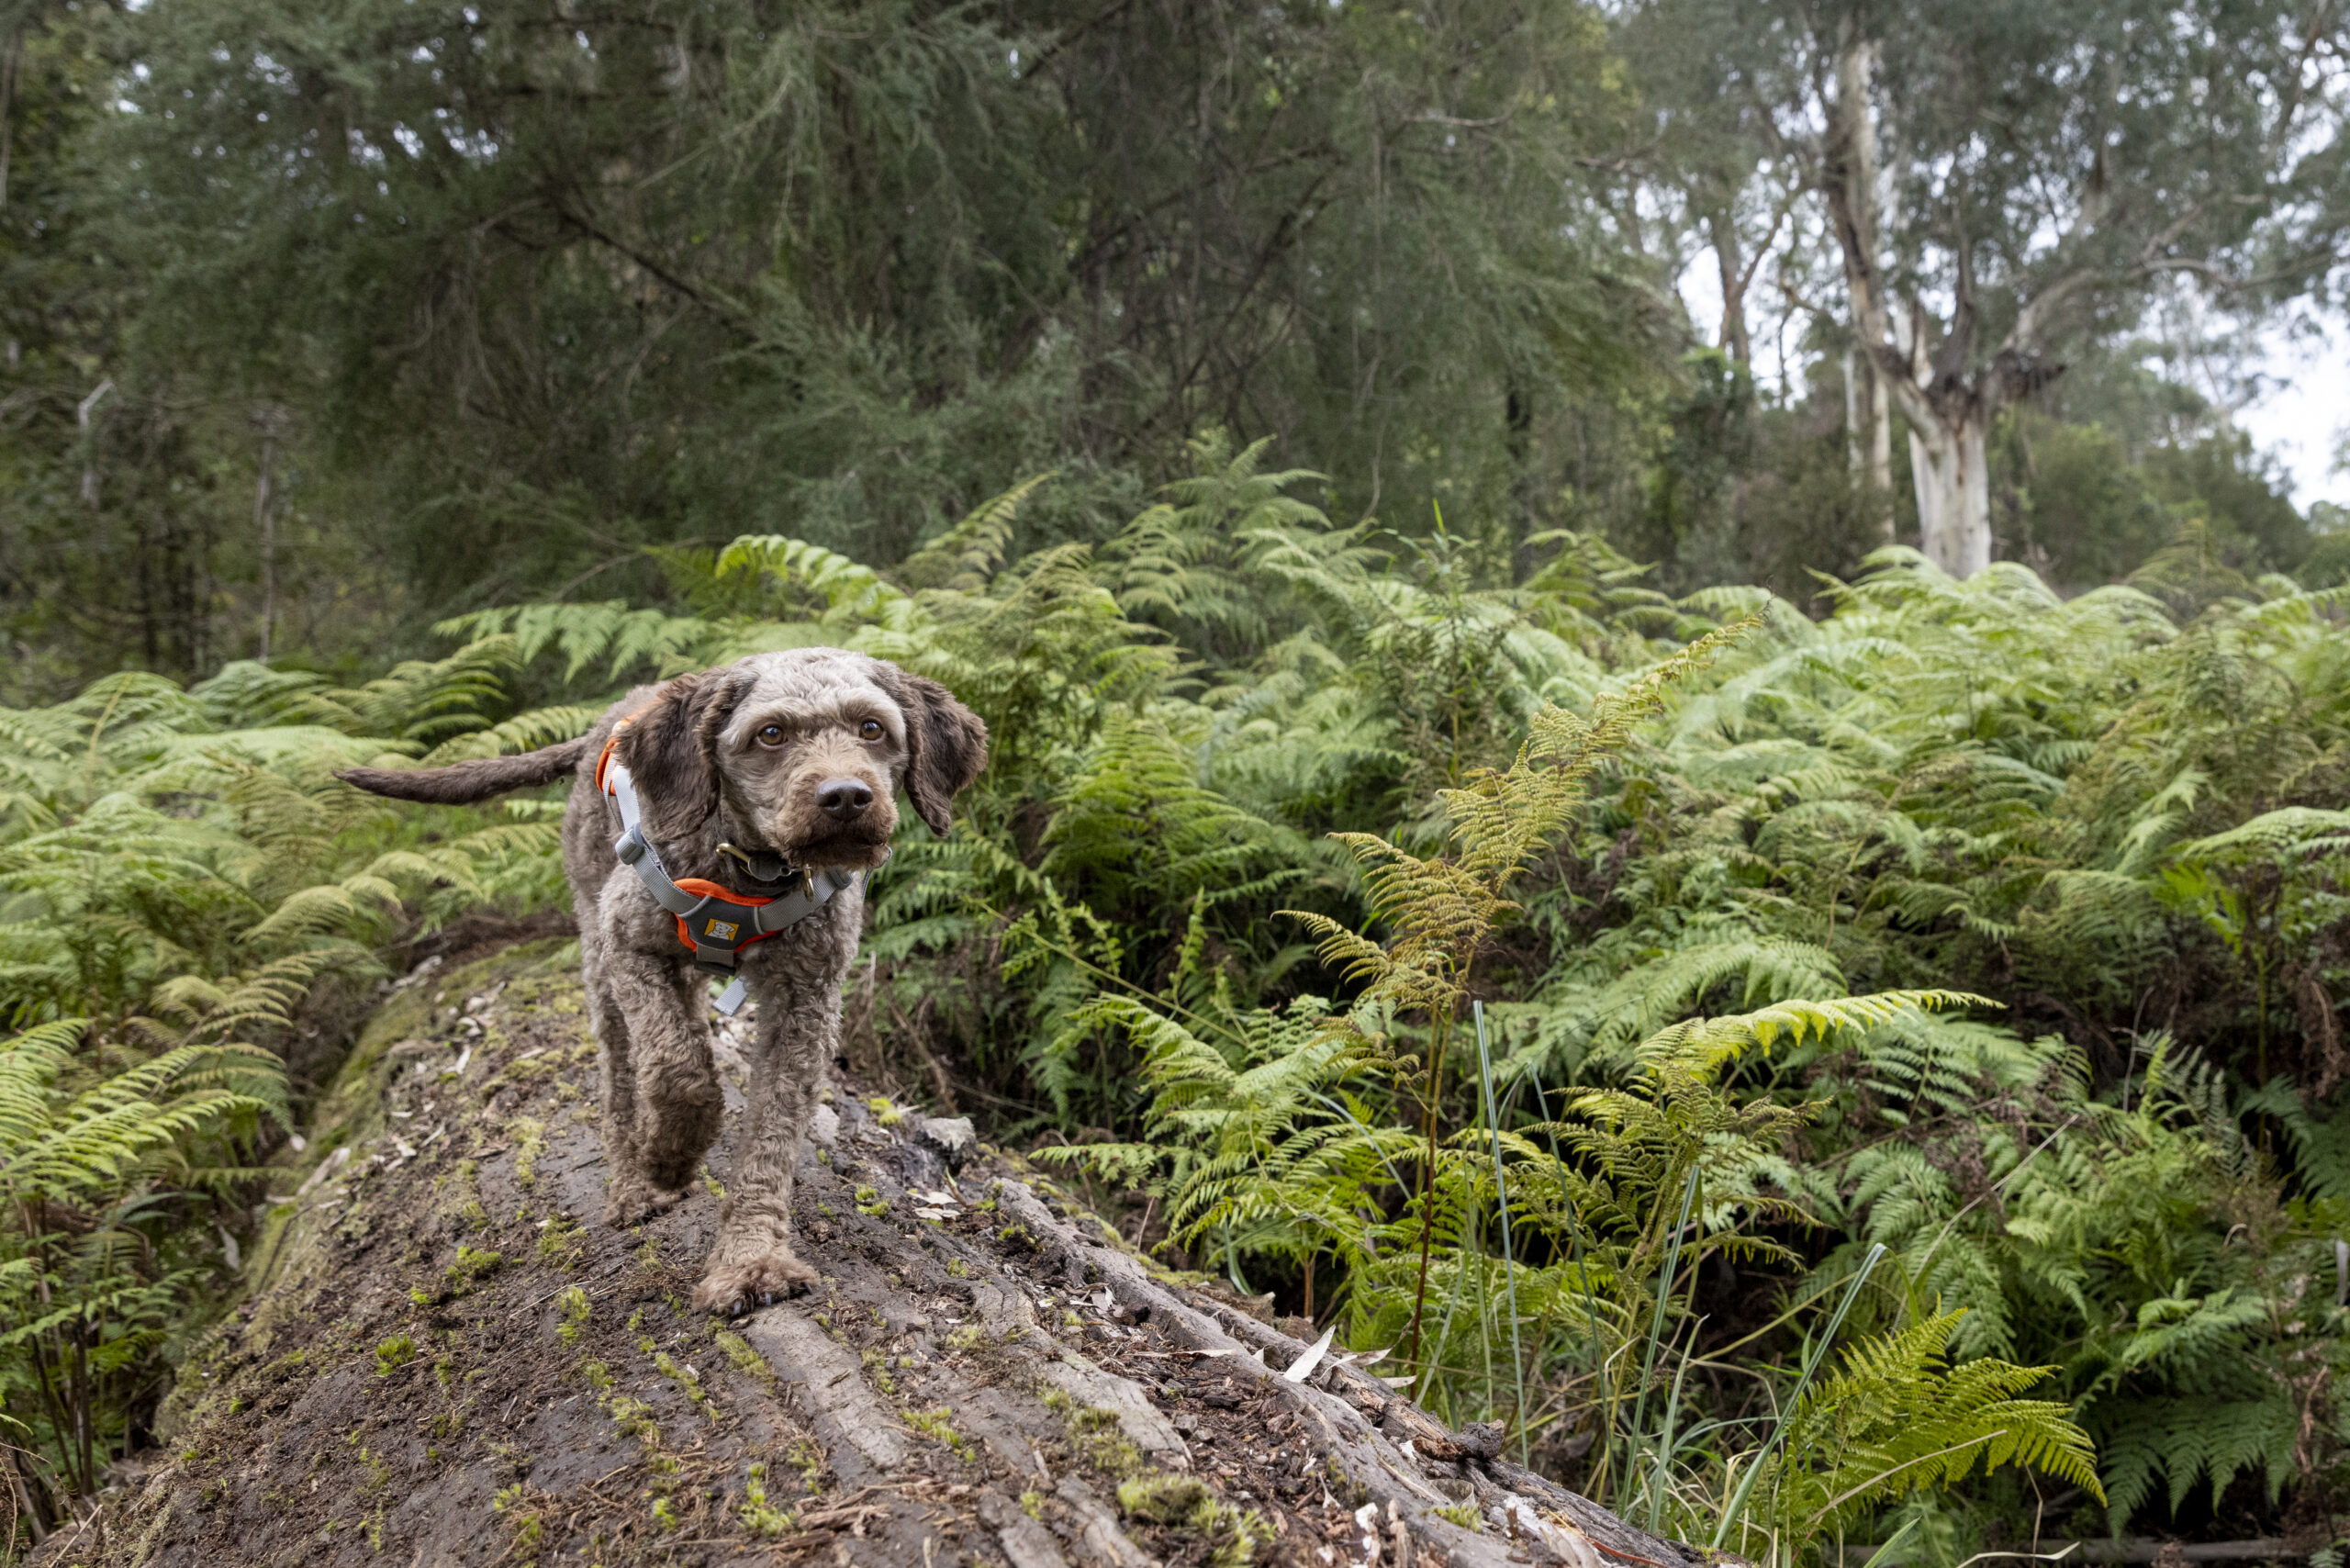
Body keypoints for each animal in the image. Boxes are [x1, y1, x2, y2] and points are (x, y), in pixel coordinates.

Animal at [338, 648, 982, 1316]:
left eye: (872, 729)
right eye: (771, 734)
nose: (847, 797)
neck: (748, 867)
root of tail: (609, 721)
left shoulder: (806, 1002)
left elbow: (771, 1136)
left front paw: (748, 1260)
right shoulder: (630, 947)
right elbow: (680, 1073)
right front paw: (670, 1157)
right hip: (599, 959)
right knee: (624, 1078)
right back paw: (633, 1183)